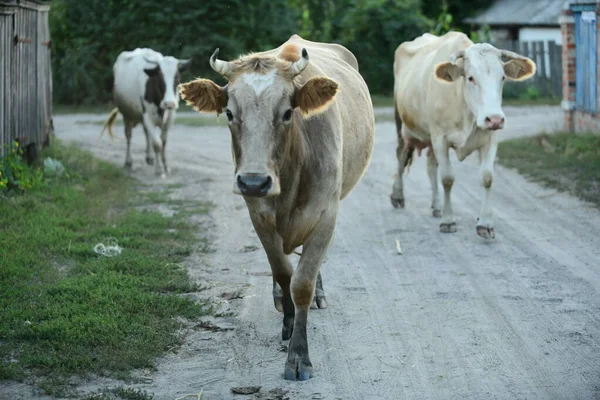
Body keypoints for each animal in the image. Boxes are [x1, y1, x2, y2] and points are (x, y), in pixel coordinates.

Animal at [99, 48, 191, 177]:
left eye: (177, 77)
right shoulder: (148, 117)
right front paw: (159, 170)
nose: (169, 103)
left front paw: (166, 166)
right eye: (159, 77)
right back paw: (128, 161)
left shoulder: (169, 118)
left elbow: (163, 143)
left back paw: (149, 157)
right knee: (128, 135)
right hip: (126, 114)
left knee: (146, 133)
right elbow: (157, 144)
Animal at [178, 35, 376, 382]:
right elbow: (283, 273)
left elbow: (302, 284)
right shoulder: (259, 218)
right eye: (229, 112)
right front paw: (288, 321)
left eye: (286, 113)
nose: (254, 182)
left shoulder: (326, 216)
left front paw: (298, 356)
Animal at [392, 32, 536, 239]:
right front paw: (448, 220)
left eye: (502, 77)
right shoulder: (440, 138)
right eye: (471, 78)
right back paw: (397, 195)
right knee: (401, 157)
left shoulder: (489, 140)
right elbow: (447, 179)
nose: (495, 119)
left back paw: (437, 205)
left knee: (430, 165)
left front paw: (485, 223)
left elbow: (487, 177)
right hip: (403, 125)